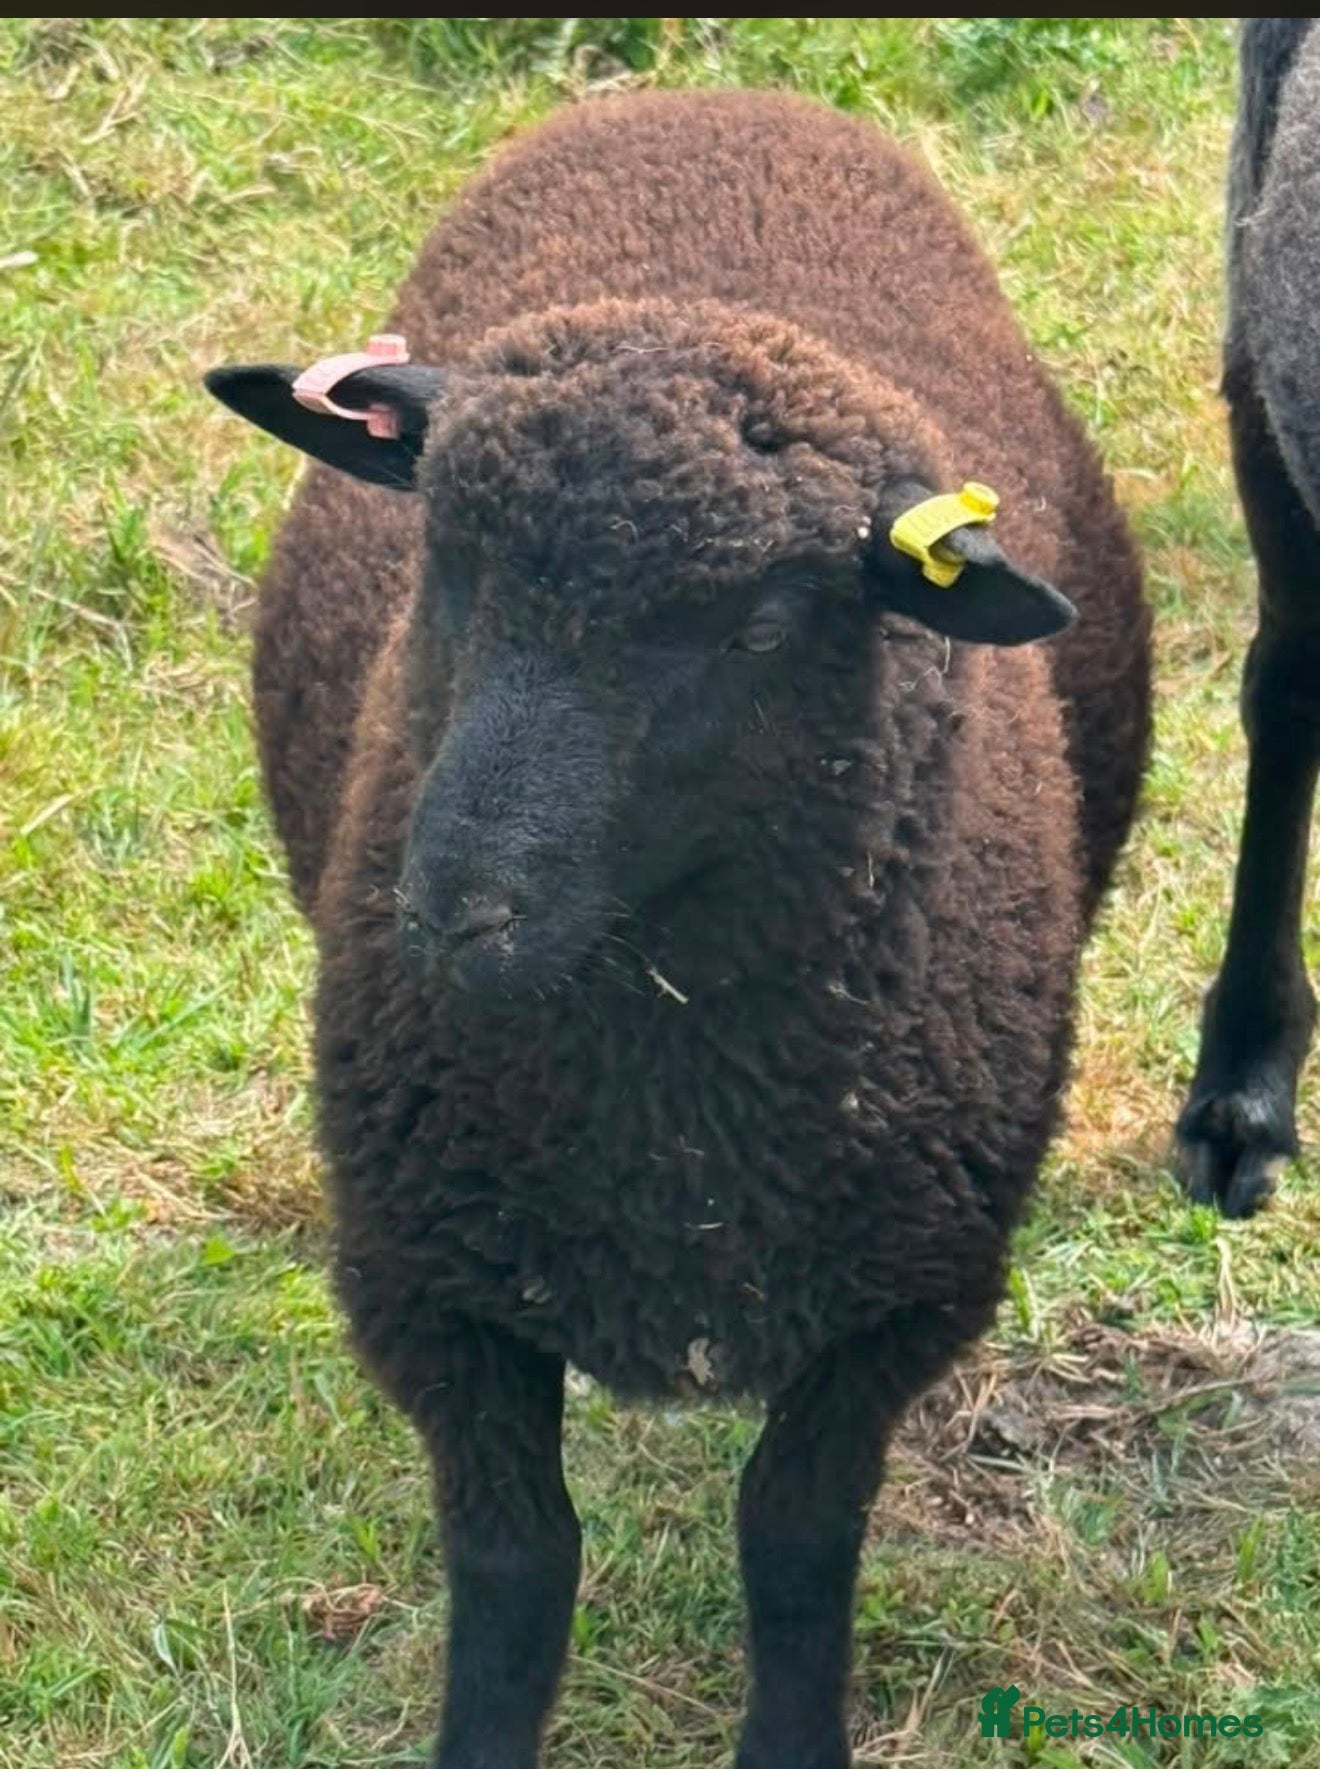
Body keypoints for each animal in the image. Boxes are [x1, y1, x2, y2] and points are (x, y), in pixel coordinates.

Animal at [206, 90, 1150, 1769]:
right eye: (444, 563)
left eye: (760, 629)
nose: (455, 910)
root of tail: (718, 95)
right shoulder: (432, 1288)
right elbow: (516, 1566)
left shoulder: (898, 1300)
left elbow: (794, 1537)